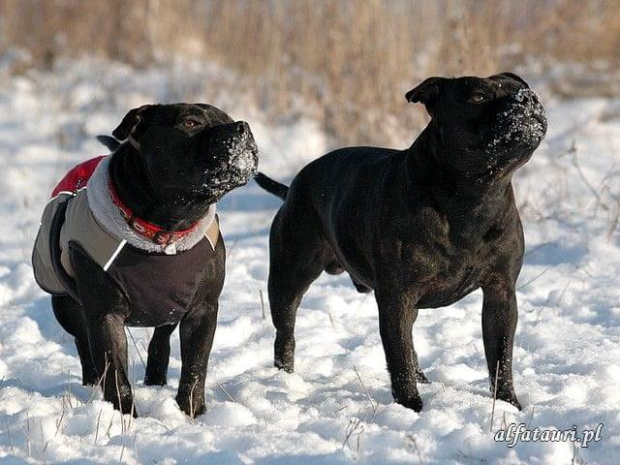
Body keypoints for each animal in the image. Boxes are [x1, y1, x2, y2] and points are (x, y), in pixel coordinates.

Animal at [33, 103, 256, 416]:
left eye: (228, 119)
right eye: (191, 123)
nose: (242, 126)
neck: (166, 230)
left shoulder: (202, 309)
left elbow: (195, 366)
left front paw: (192, 412)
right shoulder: (105, 315)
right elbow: (116, 372)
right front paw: (124, 416)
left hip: (171, 306)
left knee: (160, 341)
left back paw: (156, 380)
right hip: (67, 306)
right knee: (82, 342)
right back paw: (91, 383)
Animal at [256, 74, 548, 412]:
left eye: (520, 88)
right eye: (477, 96)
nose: (529, 98)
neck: (475, 197)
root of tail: (292, 188)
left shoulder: (500, 294)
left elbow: (500, 357)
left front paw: (508, 404)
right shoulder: (397, 298)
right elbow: (398, 358)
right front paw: (412, 407)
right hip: (288, 279)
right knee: (286, 332)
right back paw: (284, 378)